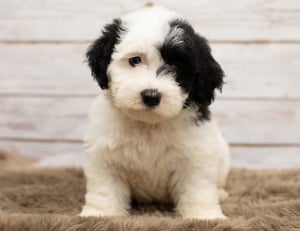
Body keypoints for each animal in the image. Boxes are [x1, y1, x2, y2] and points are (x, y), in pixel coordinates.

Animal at [79, 4, 230, 219]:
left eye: (176, 67)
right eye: (135, 60)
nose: (151, 95)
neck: (148, 124)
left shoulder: (196, 155)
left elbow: (197, 188)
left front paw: (204, 216)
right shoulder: (104, 156)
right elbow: (104, 188)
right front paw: (101, 214)